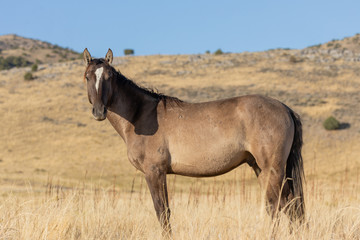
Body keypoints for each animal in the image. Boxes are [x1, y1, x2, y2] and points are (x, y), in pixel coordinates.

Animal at [83, 48, 306, 234]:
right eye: (87, 77)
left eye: (109, 77)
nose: (99, 111)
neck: (141, 115)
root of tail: (285, 108)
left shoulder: (154, 171)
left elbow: (162, 212)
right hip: (260, 168)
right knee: (286, 206)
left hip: (272, 169)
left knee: (282, 205)